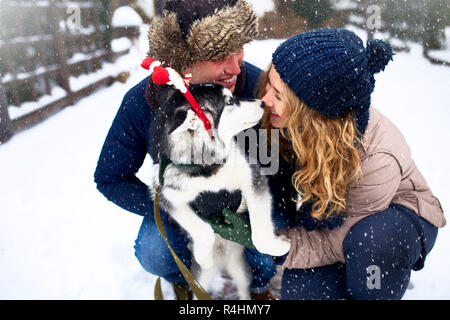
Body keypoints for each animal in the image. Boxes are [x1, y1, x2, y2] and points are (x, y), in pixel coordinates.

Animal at [149, 83, 292, 300]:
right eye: (230, 102)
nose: (262, 103)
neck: (208, 168)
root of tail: (224, 263)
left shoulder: (253, 178)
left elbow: (259, 235)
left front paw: (278, 246)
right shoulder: (168, 197)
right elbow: (202, 229)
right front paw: (202, 255)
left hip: (241, 271)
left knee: (244, 288)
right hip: (201, 280)